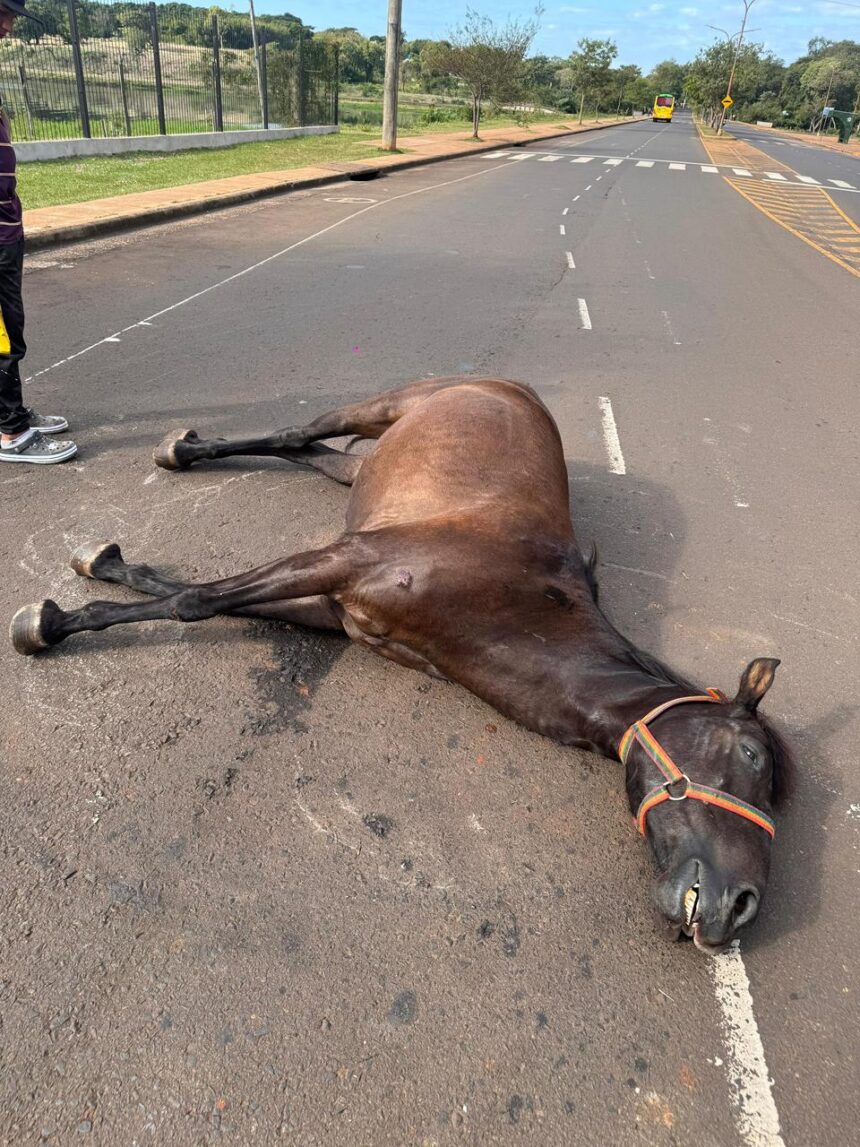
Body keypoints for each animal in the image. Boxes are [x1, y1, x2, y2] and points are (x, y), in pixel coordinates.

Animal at [10, 377, 793, 952]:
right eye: (750, 753)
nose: (742, 907)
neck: (514, 593)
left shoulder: (333, 605)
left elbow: (183, 592)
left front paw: (104, 570)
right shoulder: (346, 560)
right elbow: (194, 601)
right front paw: (55, 619)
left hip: (364, 465)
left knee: (322, 454)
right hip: (385, 404)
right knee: (297, 433)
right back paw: (183, 447)